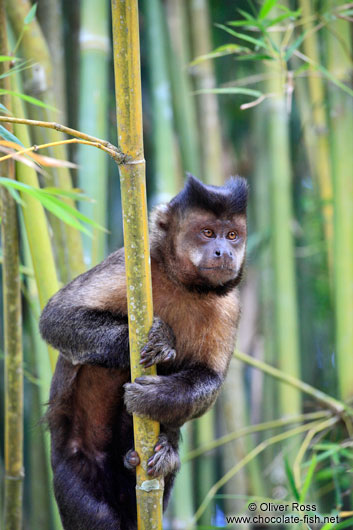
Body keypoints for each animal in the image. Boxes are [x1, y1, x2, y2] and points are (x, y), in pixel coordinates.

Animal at [39, 174, 248, 528]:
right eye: (207, 232)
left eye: (232, 235)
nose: (223, 251)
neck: (184, 283)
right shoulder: (127, 265)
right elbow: (57, 317)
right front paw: (159, 343)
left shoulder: (230, 306)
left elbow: (210, 379)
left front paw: (156, 395)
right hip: (72, 464)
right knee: (94, 510)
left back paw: (164, 452)